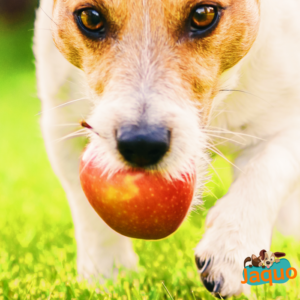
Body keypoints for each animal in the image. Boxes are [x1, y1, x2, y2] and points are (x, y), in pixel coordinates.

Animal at [34, 0, 300, 296]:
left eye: (203, 15)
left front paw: (231, 249)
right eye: (90, 18)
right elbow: (91, 216)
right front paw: (106, 277)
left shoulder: (287, 120)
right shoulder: (61, 126)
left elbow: (266, 170)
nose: (141, 143)